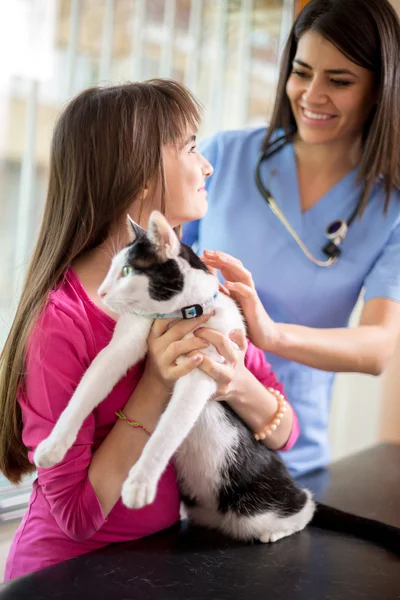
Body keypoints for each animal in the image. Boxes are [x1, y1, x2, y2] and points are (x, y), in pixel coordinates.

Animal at [35, 211, 400, 552]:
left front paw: (140, 481)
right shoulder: (125, 342)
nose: (101, 291)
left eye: (126, 271)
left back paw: (279, 526)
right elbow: (87, 388)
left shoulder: (204, 369)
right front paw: (52, 447)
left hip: (258, 506)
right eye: (111, 270)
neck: (179, 312)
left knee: (304, 506)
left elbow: (169, 428)